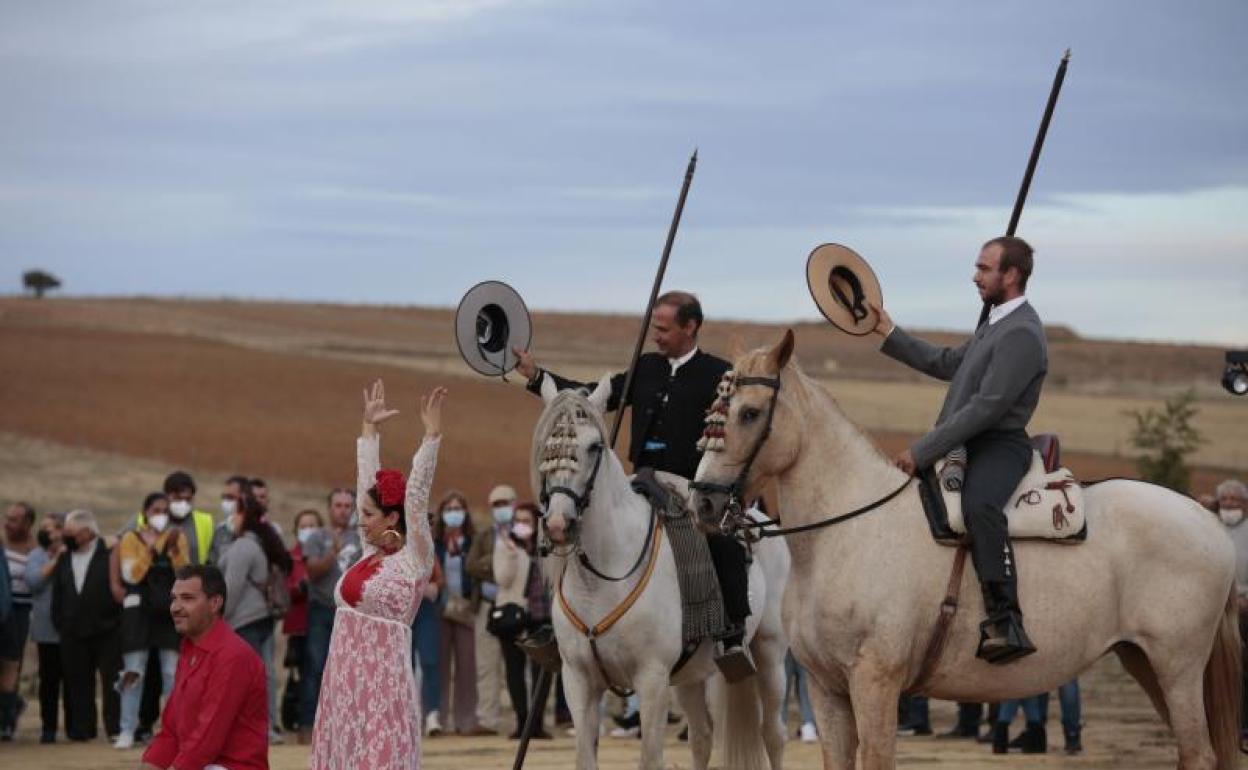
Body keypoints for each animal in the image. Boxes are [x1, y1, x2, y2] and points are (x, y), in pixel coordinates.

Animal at [534, 376, 788, 768]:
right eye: (548, 445)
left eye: (594, 446)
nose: (560, 525)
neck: (602, 578)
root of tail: (760, 521)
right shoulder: (578, 681)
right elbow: (585, 758)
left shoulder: (651, 679)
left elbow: (651, 758)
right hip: (693, 675)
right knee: (702, 737)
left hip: (769, 653)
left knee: (773, 735)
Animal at [688, 331, 1243, 768]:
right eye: (713, 414)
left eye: (750, 413)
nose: (704, 501)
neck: (845, 531)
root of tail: (1208, 522)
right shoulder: (827, 691)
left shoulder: (875, 684)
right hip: (1145, 662)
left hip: (1177, 666)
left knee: (1198, 754)